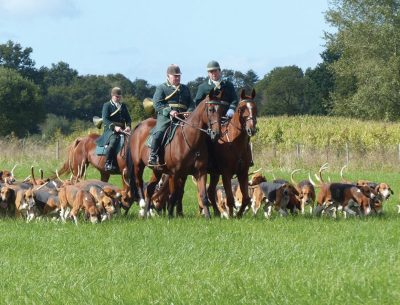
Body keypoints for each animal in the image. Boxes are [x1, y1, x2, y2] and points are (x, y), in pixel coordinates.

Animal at [126, 89, 223, 217]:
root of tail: (140, 125)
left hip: (157, 170)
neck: (190, 140)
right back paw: (142, 207)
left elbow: (203, 195)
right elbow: (173, 195)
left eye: (221, 110)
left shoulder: (200, 172)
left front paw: (207, 216)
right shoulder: (174, 174)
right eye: (211, 109)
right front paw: (170, 215)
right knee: (139, 182)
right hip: (138, 165)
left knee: (150, 188)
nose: (216, 134)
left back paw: (147, 213)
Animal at [205, 86, 258, 217]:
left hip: (214, 174)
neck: (235, 143)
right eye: (241, 109)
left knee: (210, 191)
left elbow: (246, 198)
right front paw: (231, 215)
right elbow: (229, 198)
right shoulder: (226, 174)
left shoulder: (243, 173)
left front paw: (238, 214)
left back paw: (217, 213)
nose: (251, 129)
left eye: (255, 108)